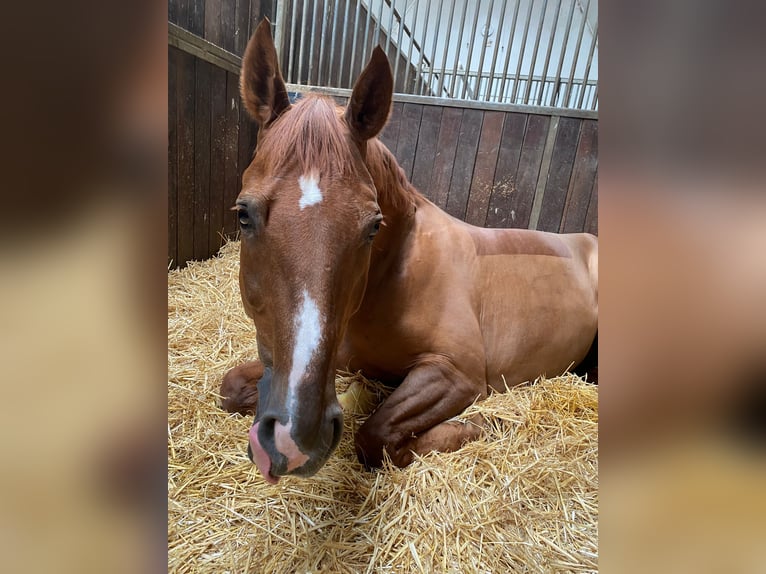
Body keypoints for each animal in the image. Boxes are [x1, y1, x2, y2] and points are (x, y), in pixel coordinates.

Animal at [219, 19, 596, 486]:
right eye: (243, 215)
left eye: (373, 226)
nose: (294, 437)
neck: (395, 274)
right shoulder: (336, 357)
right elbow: (231, 387)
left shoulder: (456, 371)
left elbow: (375, 436)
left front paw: (475, 426)